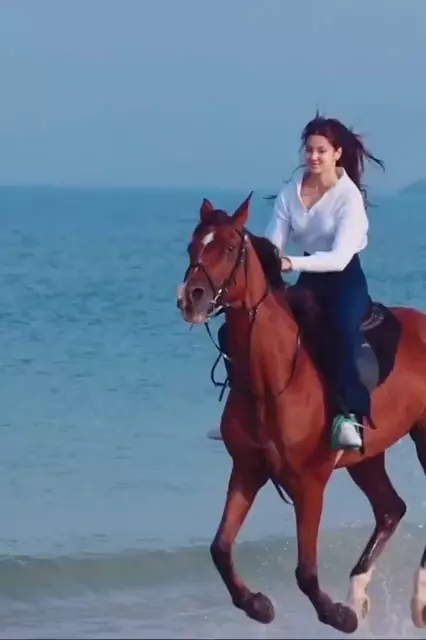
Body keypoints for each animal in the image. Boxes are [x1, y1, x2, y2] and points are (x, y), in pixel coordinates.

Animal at [176, 192, 426, 634]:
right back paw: (359, 592)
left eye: (229, 248)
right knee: (390, 509)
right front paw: (258, 605)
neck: (270, 377)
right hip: (367, 456)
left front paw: (339, 616)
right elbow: (220, 548)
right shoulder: (248, 469)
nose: (192, 298)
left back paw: (415, 601)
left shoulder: (309, 484)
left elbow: (306, 572)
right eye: (192, 246)